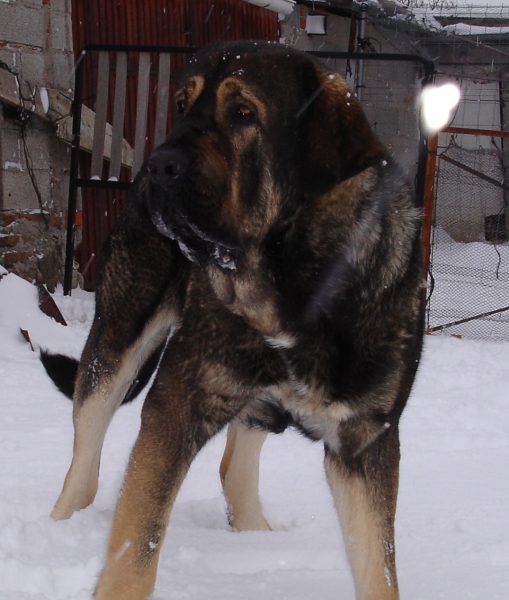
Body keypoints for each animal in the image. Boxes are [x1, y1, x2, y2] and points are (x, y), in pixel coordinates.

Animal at [45, 42, 422, 600]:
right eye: (182, 105)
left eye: (243, 113)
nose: (156, 166)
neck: (298, 288)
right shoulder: (177, 404)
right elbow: (135, 546)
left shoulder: (365, 440)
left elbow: (380, 567)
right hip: (117, 343)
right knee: (85, 458)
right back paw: (57, 527)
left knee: (234, 467)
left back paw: (257, 541)